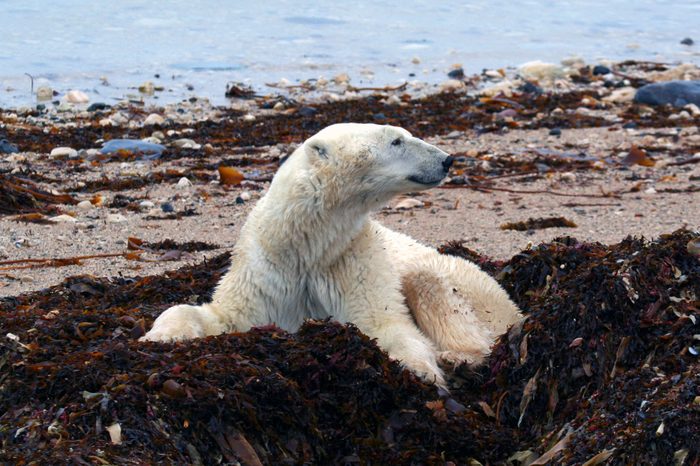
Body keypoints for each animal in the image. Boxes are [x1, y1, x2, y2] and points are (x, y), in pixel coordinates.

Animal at [141, 123, 522, 386]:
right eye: (396, 140)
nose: (447, 159)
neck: (308, 245)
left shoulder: (354, 259)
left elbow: (385, 323)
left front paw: (420, 370)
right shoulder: (266, 268)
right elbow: (224, 314)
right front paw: (159, 336)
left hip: (482, 297)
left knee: (433, 285)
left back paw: (457, 357)